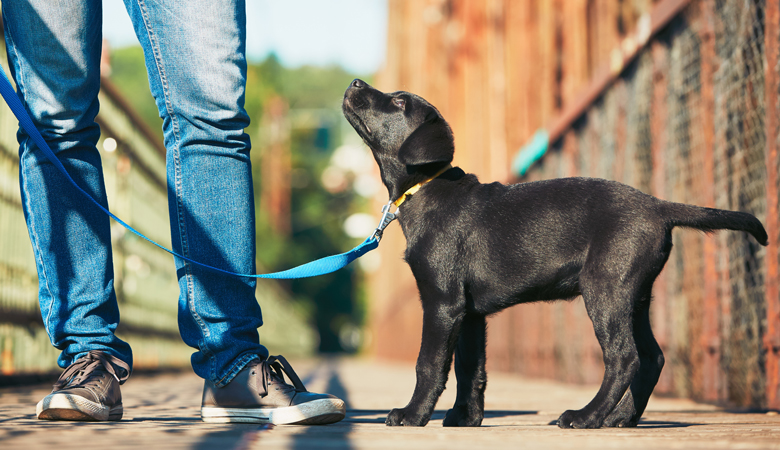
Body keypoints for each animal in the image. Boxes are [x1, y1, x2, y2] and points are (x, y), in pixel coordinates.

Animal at [342, 78, 768, 428]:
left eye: (398, 101)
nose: (355, 81)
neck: (425, 188)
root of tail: (659, 206)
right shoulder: (470, 313)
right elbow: (470, 369)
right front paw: (465, 418)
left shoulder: (442, 302)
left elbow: (429, 364)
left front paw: (413, 414)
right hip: (635, 295)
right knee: (651, 358)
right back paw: (621, 418)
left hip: (605, 289)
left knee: (624, 357)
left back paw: (586, 416)